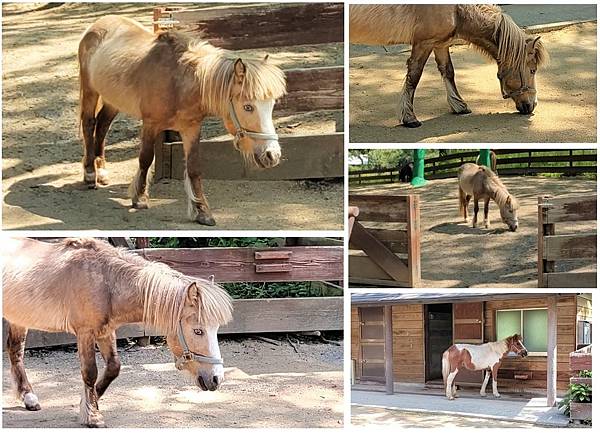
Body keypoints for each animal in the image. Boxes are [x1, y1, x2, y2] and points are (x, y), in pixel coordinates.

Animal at [1, 238, 232, 426]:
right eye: (198, 331)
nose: (216, 379)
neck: (106, 282)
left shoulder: (105, 332)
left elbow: (113, 368)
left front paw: (86, 404)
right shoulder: (85, 333)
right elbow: (90, 372)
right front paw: (93, 416)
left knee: (15, 351)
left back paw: (29, 397)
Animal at [78, 15, 288, 224]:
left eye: (272, 104)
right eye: (248, 106)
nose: (273, 155)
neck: (178, 83)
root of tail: (98, 24)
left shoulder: (191, 129)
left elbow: (194, 167)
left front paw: (202, 211)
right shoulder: (150, 124)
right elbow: (145, 158)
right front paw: (140, 198)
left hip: (113, 100)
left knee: (103, 125)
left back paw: (102, 172)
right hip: (90, 91)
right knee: (90, 124)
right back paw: (90, 174)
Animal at [346, 4, 548, 126]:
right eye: (532, 70)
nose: (532, 105)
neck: (455, 9)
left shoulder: (440, 44)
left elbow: (448, 71)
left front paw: (459, 106)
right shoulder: (423, 43)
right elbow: (414, 76)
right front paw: (409, 118)